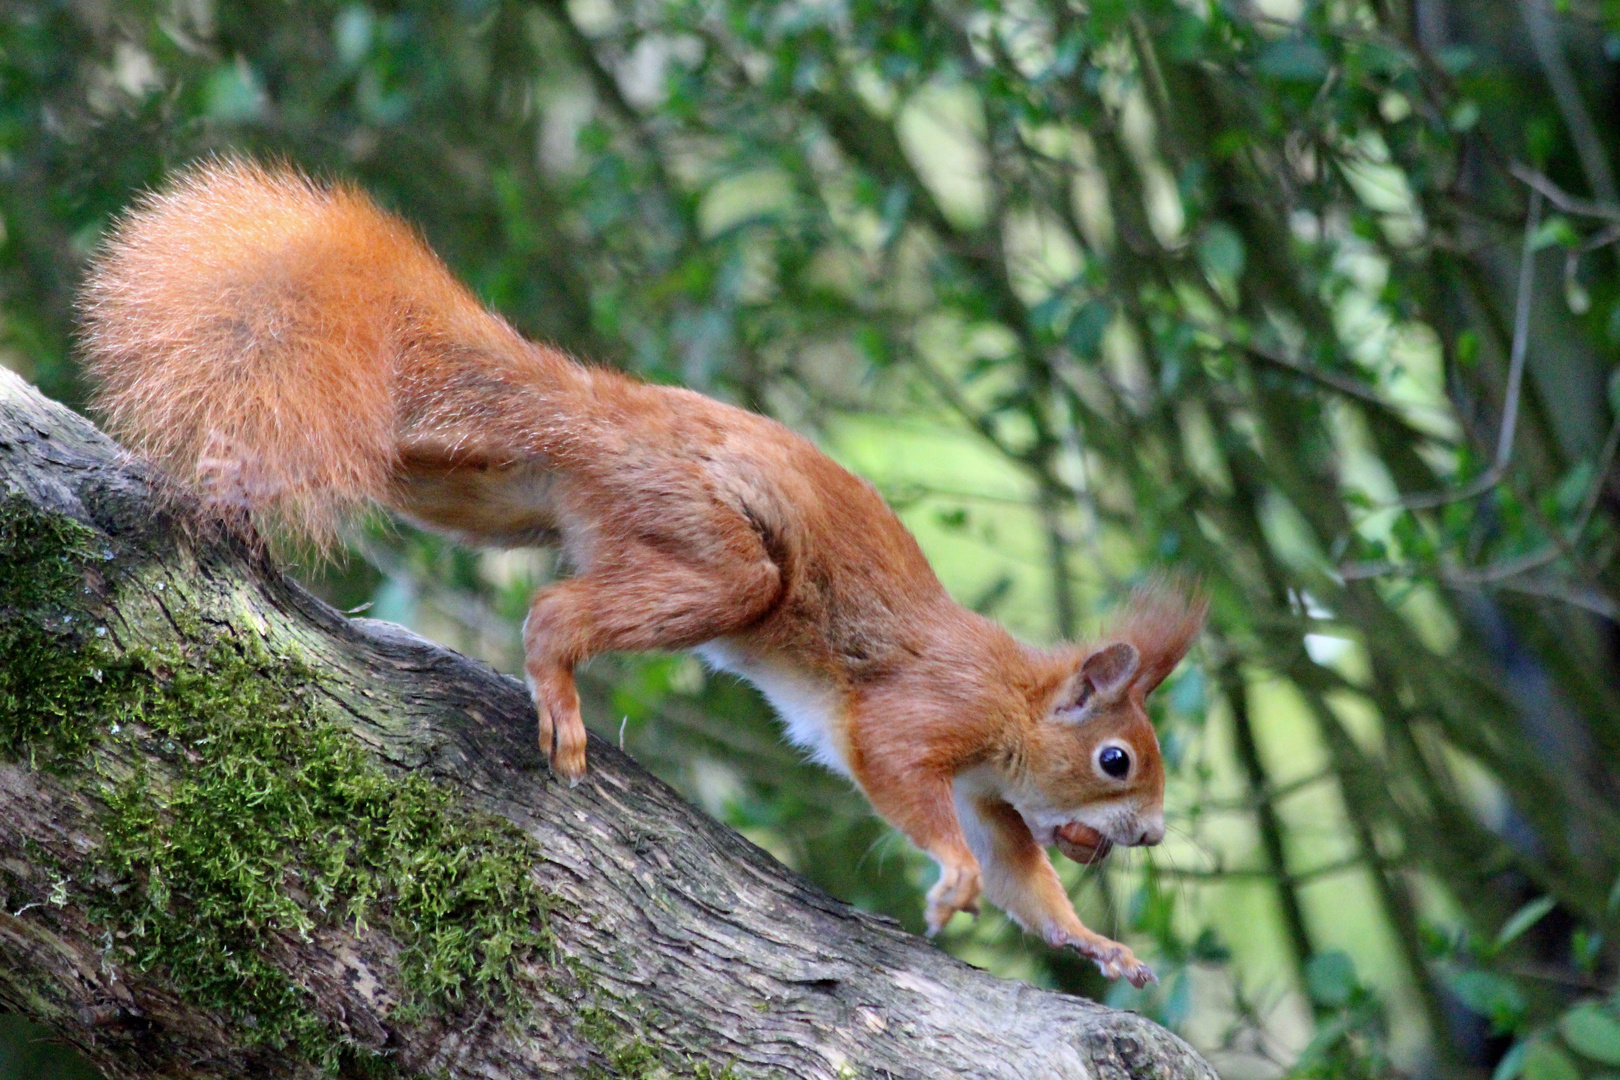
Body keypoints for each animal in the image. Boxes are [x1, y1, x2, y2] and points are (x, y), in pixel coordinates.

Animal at [82, 158, 1211, 990]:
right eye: (1118, 760)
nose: (1153, 836)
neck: (1016, 704)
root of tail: (597, 412)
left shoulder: (994, 794)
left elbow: (1029, 881)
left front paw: (1098, 946)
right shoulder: (929, 714)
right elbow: (908, 783)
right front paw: (951, 883)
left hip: (473, 485)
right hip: (714, 554)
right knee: (553, 611)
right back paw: (555, 695)